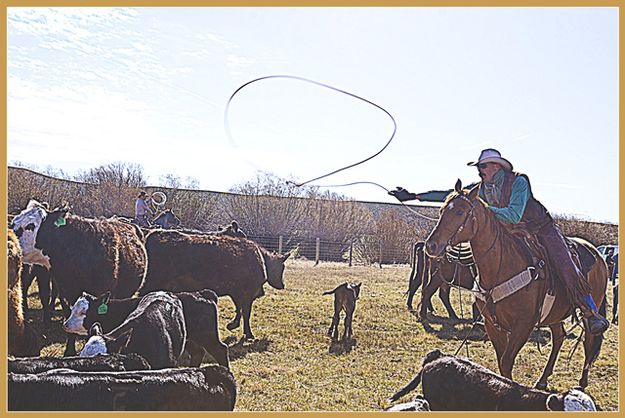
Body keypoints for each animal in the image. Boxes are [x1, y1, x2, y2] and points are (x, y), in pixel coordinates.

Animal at [64, 290, 229, 368]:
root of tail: (203, 293)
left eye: (83, 312)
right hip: (191, 340)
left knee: (221, 349)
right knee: (198, 353)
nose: (66, 324)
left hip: (208, 336)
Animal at [138, 230, 288, 342]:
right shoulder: (247, 293)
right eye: (282, 267)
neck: (261, 259)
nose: (283, 285)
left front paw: (232, 325)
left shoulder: (236, 292)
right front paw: (249, 333)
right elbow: (246, 313)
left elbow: (238, 309)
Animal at [424, 180, 604, 388]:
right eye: (442, 211)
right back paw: (542, 380)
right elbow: (502, 361)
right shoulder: (492, 324)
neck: (501, 266)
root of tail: (599, 255)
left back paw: (582, 382)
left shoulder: (523, 325)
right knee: (559, 337)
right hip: (555, 315)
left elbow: (506, 361)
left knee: (589, 340)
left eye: (460, 212)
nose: (431, 245)